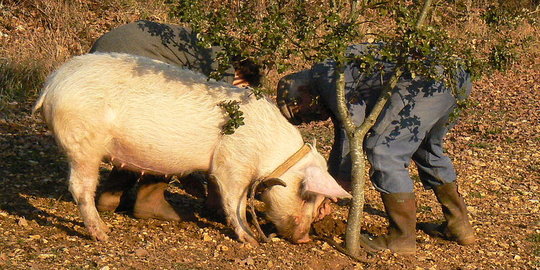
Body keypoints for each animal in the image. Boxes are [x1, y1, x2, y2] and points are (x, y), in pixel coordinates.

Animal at [32, 52, 350, 245]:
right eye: (306, 195)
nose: (305, 238)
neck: (271, 154)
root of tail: (52, 83)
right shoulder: (232, 163)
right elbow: (234, 200)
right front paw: (249, 240)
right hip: (82, 142)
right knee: (79, 187)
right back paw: (104, 234)